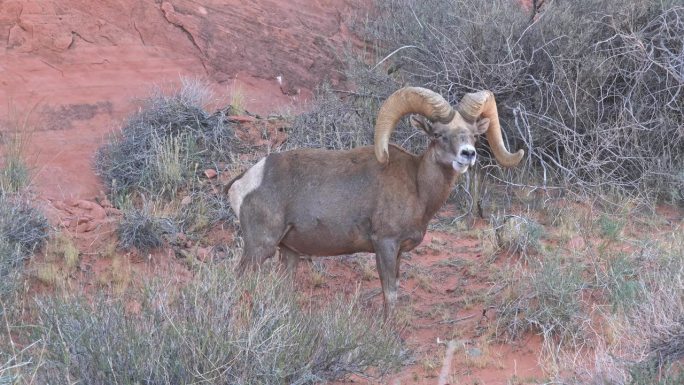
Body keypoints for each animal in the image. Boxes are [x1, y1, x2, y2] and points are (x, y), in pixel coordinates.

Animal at [228, 88, 524, 318]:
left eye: (473, 134)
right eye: (438, 134)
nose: (468, 154)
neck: (417, 187)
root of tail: (244, 182)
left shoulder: (398, 252)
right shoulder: (385, 244)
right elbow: (389, 294)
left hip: (288, 253)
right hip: (260, 247)